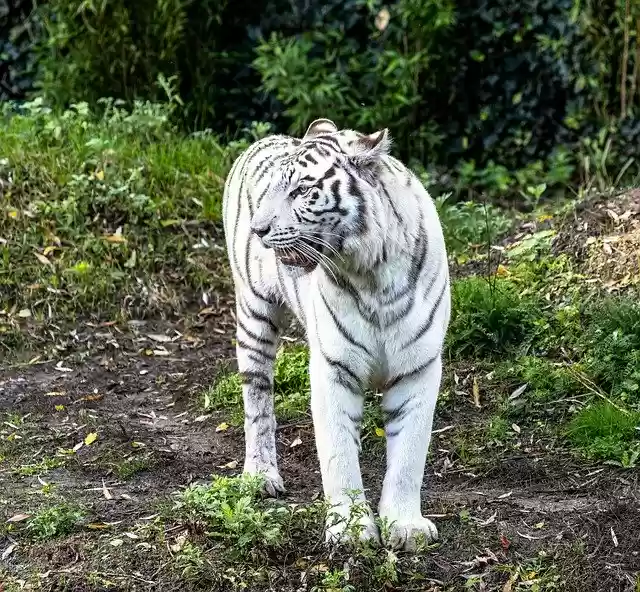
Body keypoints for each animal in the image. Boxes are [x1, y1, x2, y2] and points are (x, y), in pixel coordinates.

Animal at [221, 118, 451, 551]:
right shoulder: (333, 368)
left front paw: (405, 525)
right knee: (257, 399)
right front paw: (351, 530)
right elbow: (339, 455)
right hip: (254, 313)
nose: (259, 229)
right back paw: (261, 475)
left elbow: (409, 454)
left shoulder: (419, 368)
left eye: (301, 190)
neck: (373, 271)